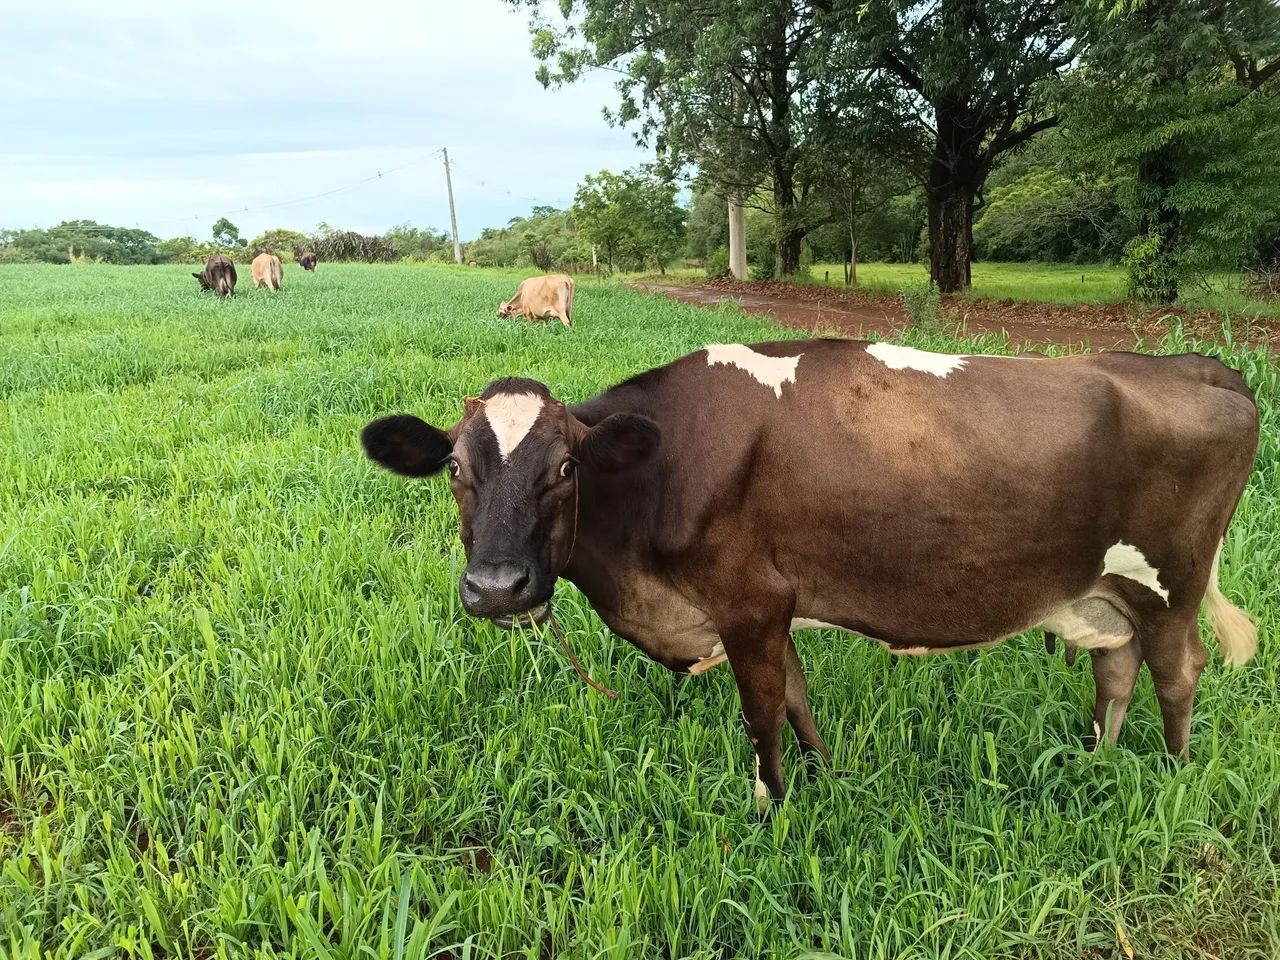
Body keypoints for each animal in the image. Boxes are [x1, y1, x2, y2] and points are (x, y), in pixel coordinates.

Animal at [360, 339, 1259, 810]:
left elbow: (761, 713)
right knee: (1117, 668)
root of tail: (1193, 363)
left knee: (1177, 673)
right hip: (1106, 590)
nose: (497, 588)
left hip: (1172, 584)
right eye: (454, 470)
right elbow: (796, 698)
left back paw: (1173, 778)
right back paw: (1097, 761)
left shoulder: (746, 602)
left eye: (565, 470)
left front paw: (770, 807)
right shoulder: (775, 604)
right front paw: (824, 780)